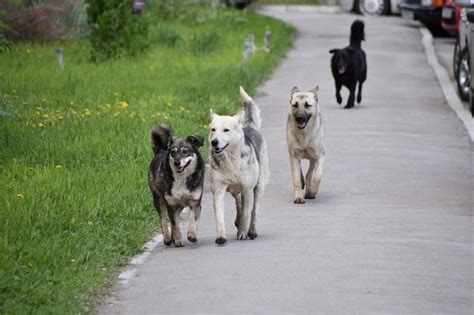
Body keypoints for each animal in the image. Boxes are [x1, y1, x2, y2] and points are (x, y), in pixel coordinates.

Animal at [209, 87, 268, 246]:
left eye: (226, 130)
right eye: (213, 129)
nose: (214, 142)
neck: (230, 161)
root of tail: (248, 127)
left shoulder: (248, 189)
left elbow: (248, 213)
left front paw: (243, 232)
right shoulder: (218, 191)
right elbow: (219, 216)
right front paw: (221, 237)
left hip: (259, 186)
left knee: (254, 210)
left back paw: (251, 230)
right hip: (234, 191)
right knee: (238, 203)